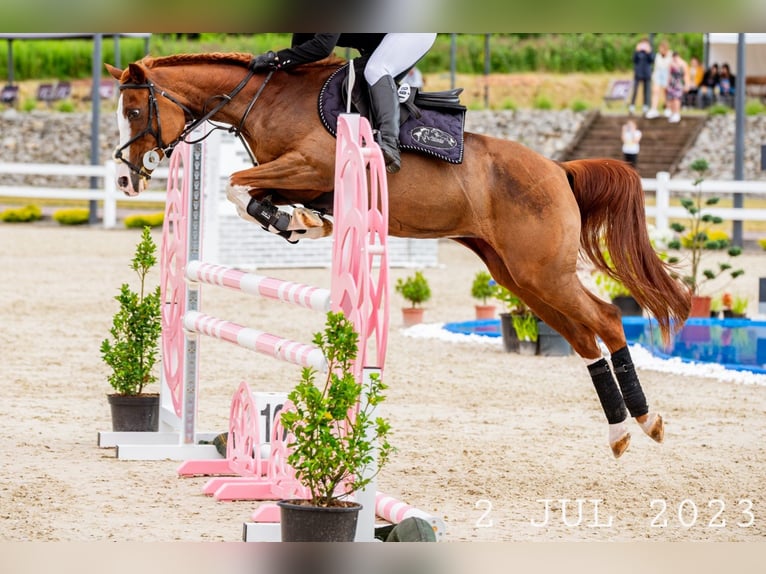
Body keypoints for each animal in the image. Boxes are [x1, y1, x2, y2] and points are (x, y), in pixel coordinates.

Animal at [105, 52, 691, 458]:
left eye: (133, 109)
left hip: (543, 272)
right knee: (583, 337)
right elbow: (245, 191)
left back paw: (646, 422)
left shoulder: (310, 167)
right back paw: (619, 432)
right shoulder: (290, 176)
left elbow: (235, 184)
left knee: (607, 319)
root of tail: (558, 169)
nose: (126, 180)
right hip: (519, 276)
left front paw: (298, 221)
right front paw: (301, 221)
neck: (267, 100)